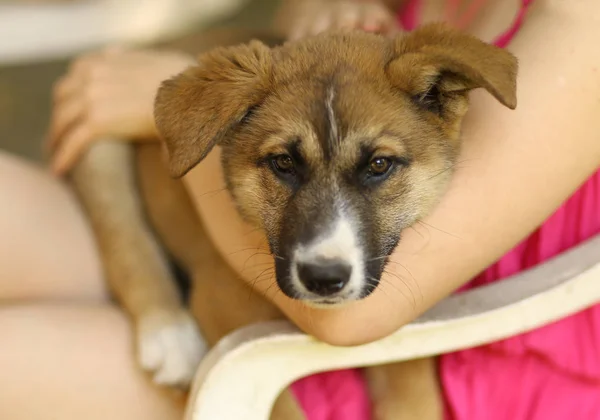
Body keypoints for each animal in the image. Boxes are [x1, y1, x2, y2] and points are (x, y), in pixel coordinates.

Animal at [69, 23, 516, 420]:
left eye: (379, 165)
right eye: (283, 163)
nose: (324, 278)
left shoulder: (390, 326)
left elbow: (414, 400)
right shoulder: (221, 301)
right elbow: (282, 410)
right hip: (99, 147)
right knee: (122, 234)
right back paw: (169, 336)